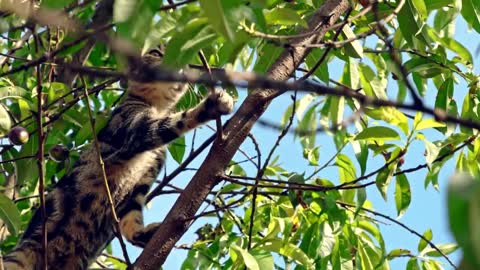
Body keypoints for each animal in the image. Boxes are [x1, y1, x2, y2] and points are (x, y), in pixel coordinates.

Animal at [1, 49, 234, 268]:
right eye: (156, 52)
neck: (157, 106)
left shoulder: (140, 183)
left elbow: (132, 217)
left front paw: (145, 234)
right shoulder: (136, 130)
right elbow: (175, 121)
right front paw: (211, 106)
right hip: (20, 256)